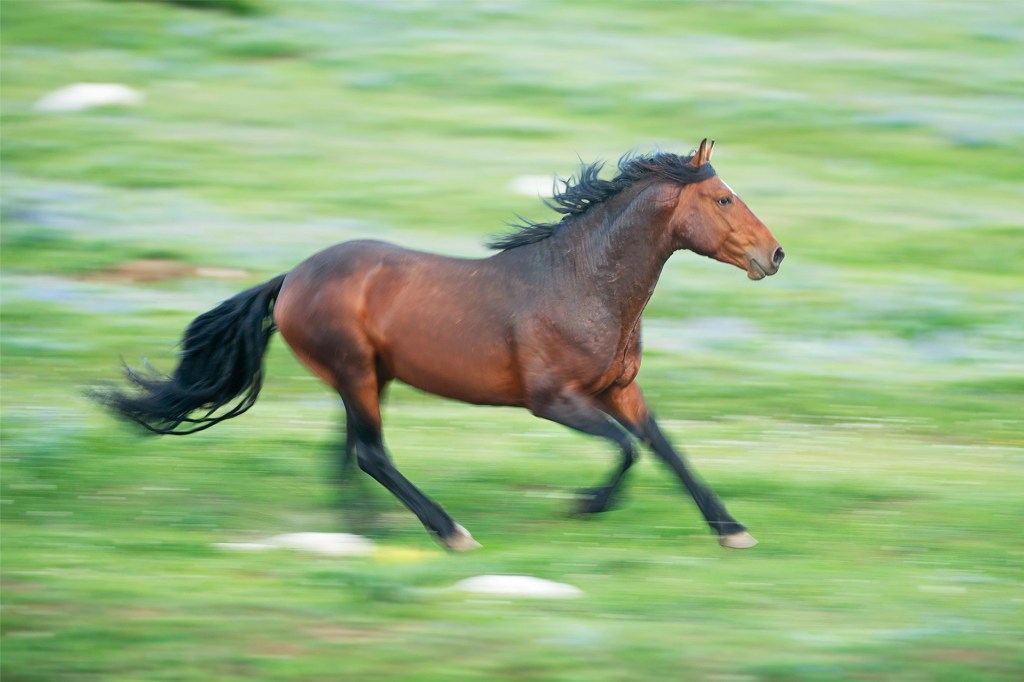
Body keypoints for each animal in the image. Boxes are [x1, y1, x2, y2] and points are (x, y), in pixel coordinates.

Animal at [98, 139, 784, 551]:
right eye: (723, 198)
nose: (773, 255)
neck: (580, 282)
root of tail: (291, 278)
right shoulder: (554, 401)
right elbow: (627, 450)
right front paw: (586, 507)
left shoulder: (619, 390)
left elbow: (664, 447)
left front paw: (732, 529)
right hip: (357, 373)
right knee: (371, 453)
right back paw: (448, 529)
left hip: (365, 377)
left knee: (349, 452)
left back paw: (364, 529)